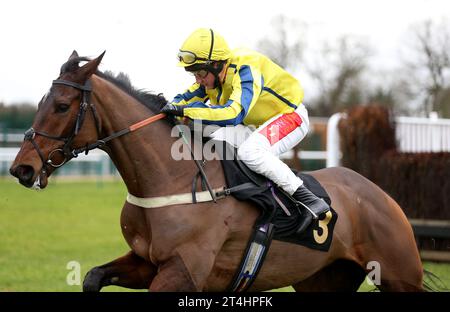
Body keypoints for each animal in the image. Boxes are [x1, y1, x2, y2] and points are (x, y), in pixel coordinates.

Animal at [8, 51, 424, 292]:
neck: (170, 180)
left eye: (62, 105)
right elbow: (93, 277)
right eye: (42, 101)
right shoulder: (147, 262)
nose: (21, 168)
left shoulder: (181, 271)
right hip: (322, 280)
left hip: (399, 273)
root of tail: (380, 194)